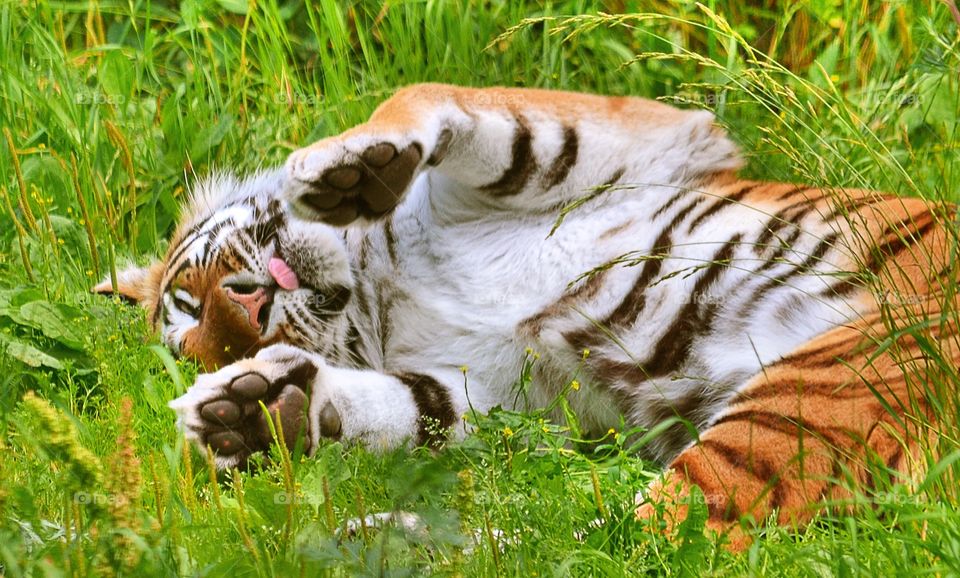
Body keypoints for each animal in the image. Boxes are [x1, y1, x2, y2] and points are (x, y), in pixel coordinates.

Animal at [95, 83, 958, 548]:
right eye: (206, 338)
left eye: (193, 301)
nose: (257, 309)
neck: (381, 290)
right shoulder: (515, 395)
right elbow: (411, 406)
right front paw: (259, 412)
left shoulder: (647, 135)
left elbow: (449, 104)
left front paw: (349, 170)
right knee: (623, 547)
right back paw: (382, 541)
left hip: (850, 371)